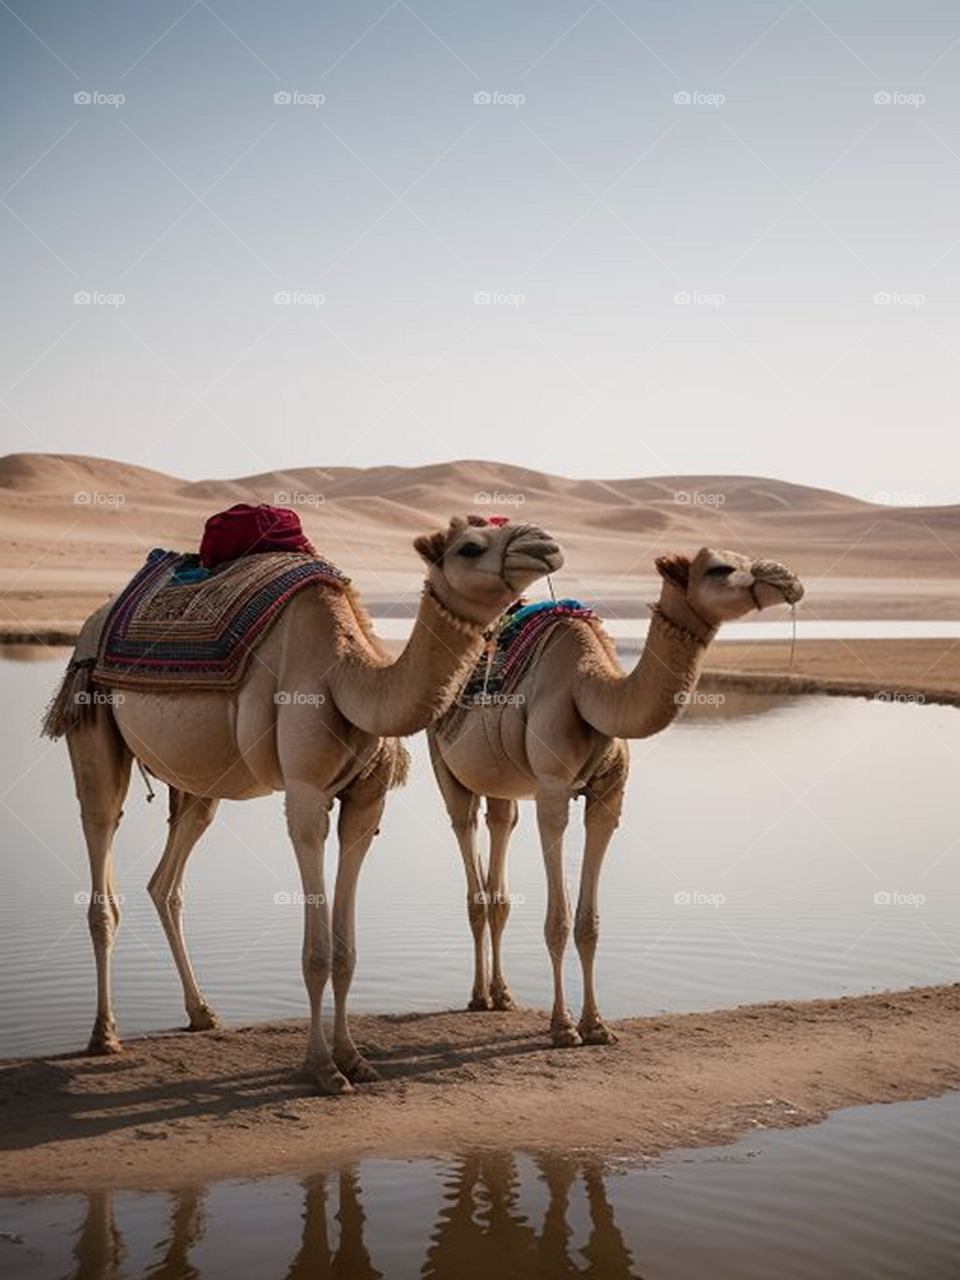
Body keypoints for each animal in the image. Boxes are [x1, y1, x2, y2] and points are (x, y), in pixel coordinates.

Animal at [45, 516, 562, 1094]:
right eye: (470, 547)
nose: (544, 544)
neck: (347, 678)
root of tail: (93, 619)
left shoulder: (366, 802)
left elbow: (345, 951)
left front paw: (354, 1060)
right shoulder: (306, 793)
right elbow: (316, 953)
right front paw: (322, 1069)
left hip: (199, 781)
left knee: (167, 879)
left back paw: (202, 1013)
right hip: (89, 712)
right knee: (101, 839)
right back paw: (104, 1035)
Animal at [428, 546, 803, 1047]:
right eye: (720, 568)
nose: (787, 579)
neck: (588, 688)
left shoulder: (609, 797)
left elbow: (589, 924)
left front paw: (597, 1026)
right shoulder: (551, 791)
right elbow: (558, 921)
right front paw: (563, 1027)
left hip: (501, 783)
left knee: (500, 845)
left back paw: (501, 994)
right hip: (446, 766)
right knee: (467, 847)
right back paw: (477, 996)